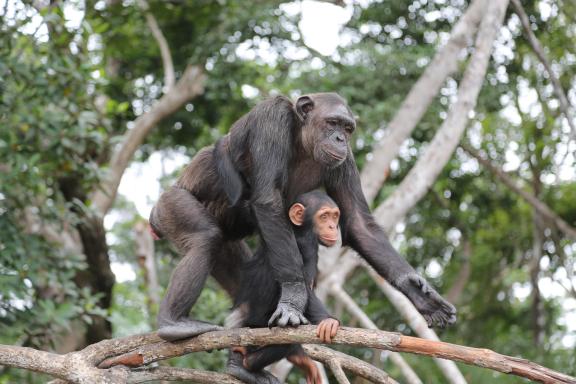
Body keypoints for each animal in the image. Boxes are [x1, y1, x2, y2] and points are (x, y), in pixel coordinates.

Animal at [151, 93, 456, 342]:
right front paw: (293, 297)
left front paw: (420, 294)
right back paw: (173, 323)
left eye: (347, 128)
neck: (301, 138)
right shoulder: (271, 118)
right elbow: (268, 199)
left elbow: (359, 223)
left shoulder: (346, 160)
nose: (340, 139)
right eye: (332, 122)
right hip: (170, 206)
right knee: (204, 238)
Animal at [226, 191, 342, 384]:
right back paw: (245, 364)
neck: (299, 229)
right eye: (324, 216)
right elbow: (302, 288)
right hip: (255, 323)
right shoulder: (306, 244)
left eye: (335, 216)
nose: (333, 226)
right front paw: (328, 321)